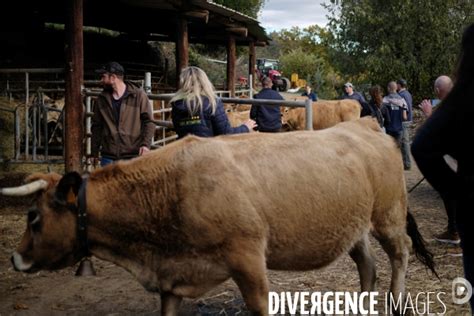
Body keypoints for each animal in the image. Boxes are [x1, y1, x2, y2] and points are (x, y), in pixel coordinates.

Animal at [1, 117, 436, 314]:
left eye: (33, 217)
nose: (14, 258)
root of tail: (364, 122)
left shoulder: (249, 261)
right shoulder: (172, 276)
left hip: (388, 216)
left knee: (400, 253)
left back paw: (397, 299)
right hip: (354, 226)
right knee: (367, 265)